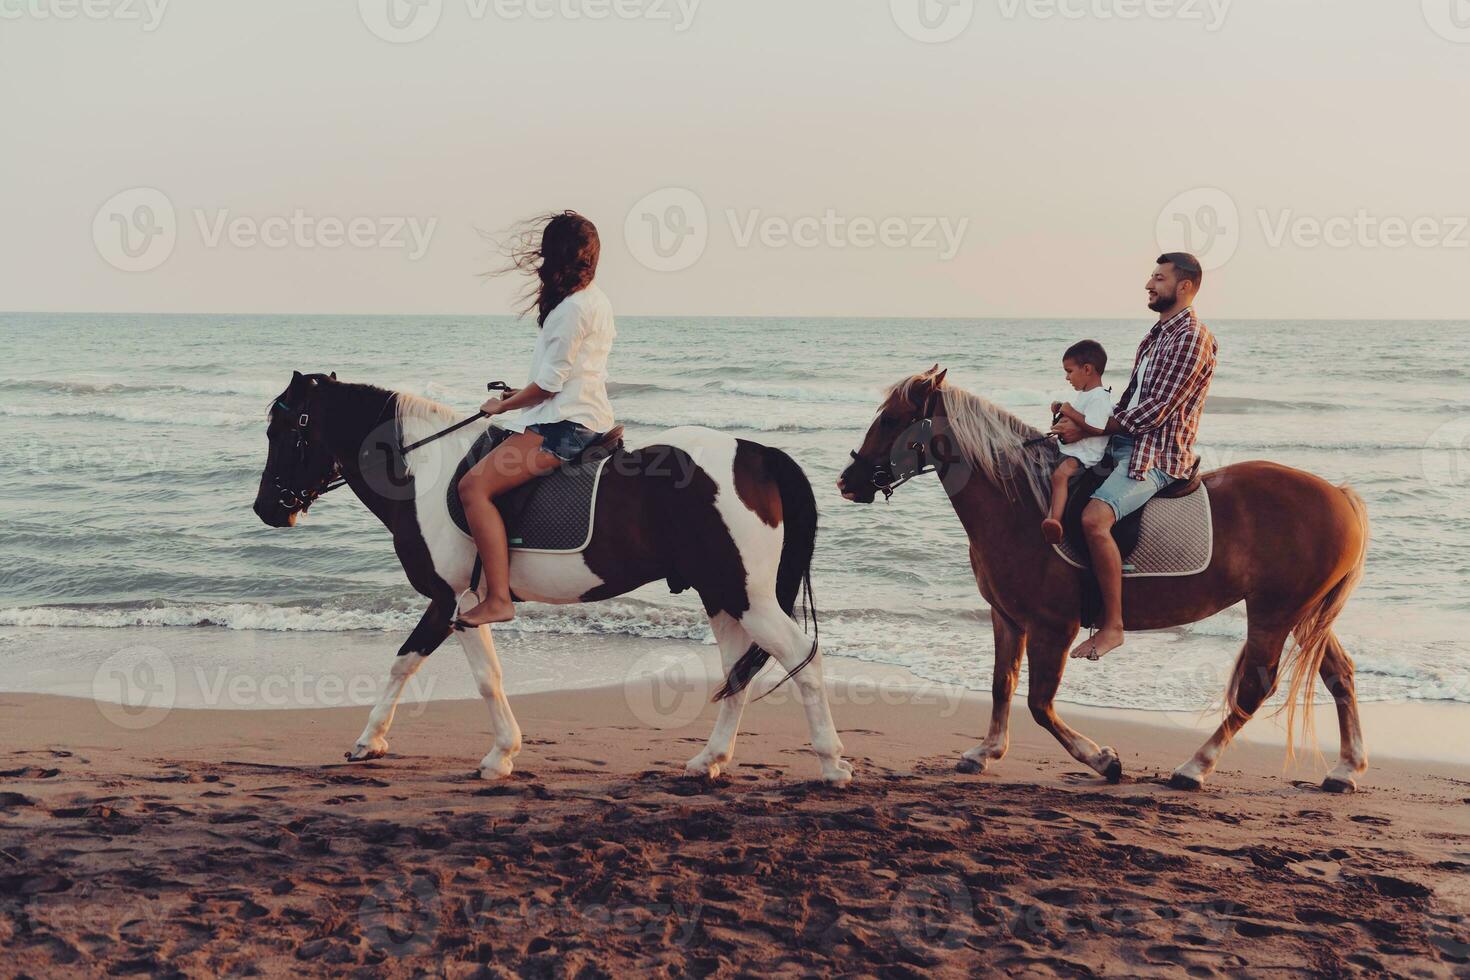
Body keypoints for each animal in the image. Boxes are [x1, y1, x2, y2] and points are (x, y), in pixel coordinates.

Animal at [252, 371, 852, 787]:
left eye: (280, 430)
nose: (266, 509)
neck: (422, 472)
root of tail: (757, 454)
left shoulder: (450, 600)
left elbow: (429, 667)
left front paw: (376, 742)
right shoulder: (468, 604)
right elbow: (476, 672)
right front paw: (497, 752)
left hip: (747, 597)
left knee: (804, 659)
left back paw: (831, 765)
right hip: (723, 597)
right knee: (738, 674)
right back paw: (709, 760)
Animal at [840, 364, 1375, 793]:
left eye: (891, 420)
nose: (848, 482)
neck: (1022, 505)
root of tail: (1338, 495)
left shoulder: (1054, 626)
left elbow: (1039, 703)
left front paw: (1103, 760)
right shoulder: (1006, 617)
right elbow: (1000, 684)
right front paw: (986, 752)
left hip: (1274, 612)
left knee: (1254, 688)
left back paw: (1194, 767)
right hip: (1305, 614)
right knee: (1340, 674)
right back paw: (1345, 770)